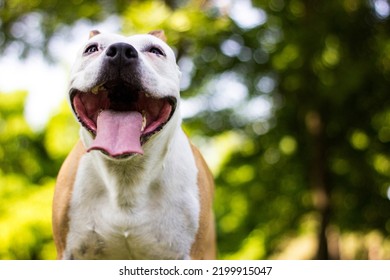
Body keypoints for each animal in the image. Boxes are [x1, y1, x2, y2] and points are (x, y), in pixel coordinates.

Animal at [51, 29, 216, 260]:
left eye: (156, 51)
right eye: (91, 49)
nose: (121, 50)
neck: (126, 177)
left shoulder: (197, 253)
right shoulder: (68, 252)